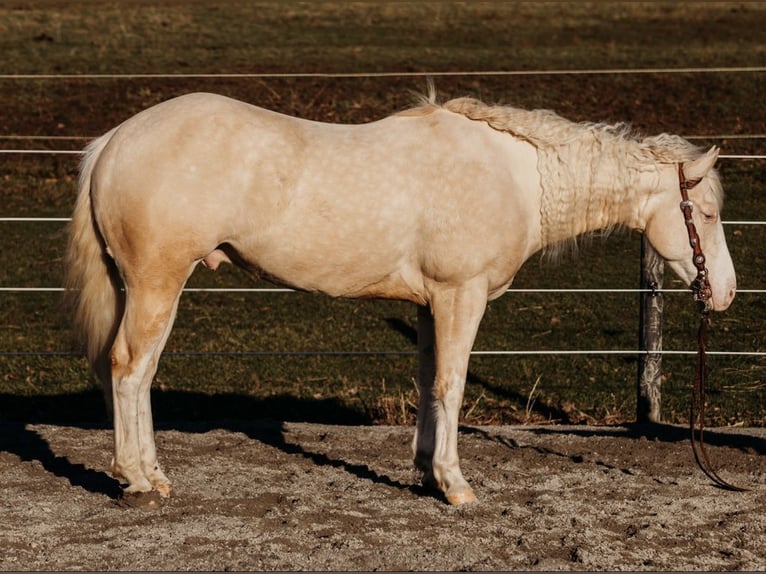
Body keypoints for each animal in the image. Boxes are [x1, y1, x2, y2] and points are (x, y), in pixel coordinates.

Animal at [64, 90, 736, 505]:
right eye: (704, 212)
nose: (724, 293)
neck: (515, 175)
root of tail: (115, 140)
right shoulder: (462, 298)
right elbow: (452, 385)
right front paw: (455, 484)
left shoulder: (429, 304)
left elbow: (427, 384)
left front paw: (424, 470)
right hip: (157, 284)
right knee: (129, 369)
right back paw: (136, 480)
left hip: (145, 288)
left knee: (139, 373)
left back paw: (152, 473)